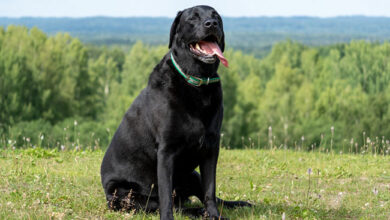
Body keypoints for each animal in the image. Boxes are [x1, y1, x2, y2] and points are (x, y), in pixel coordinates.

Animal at [100, 5, 250, 220]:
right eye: (193, 18)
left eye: (217, 17)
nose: (211, 23)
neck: (196, 82)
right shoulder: (166, 151)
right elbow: (165, 196)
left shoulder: (211, 147)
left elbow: (210, 189)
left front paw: (214, 215)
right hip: (126, 195)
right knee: (170, 204)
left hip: (192, 174)